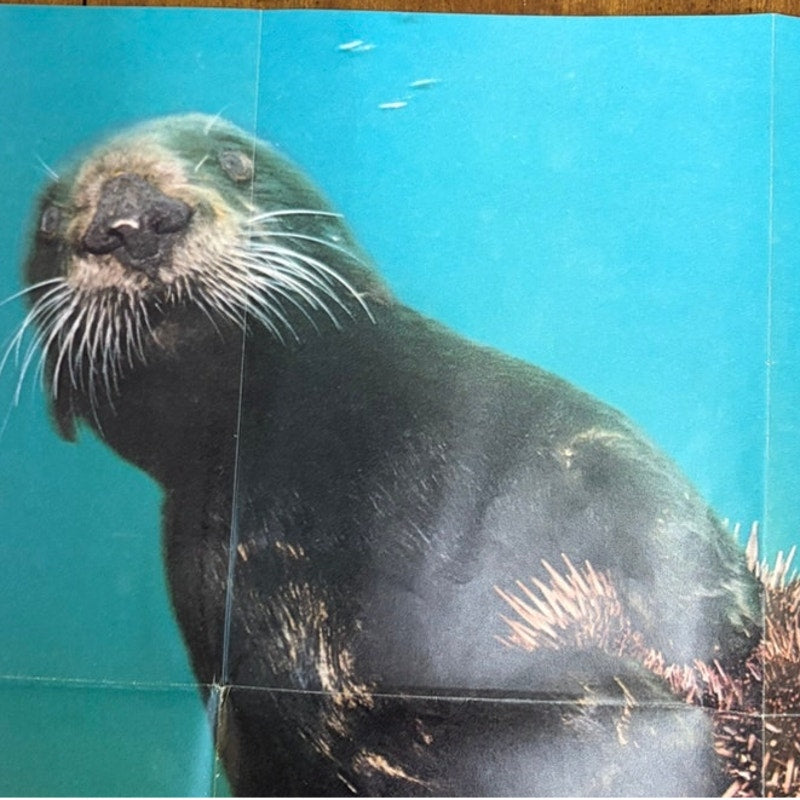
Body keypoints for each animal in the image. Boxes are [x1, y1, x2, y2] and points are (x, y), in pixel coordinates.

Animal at [19, 114, 760, 795]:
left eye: (234, 161)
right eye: (48, 222)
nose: (131, 220)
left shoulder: (561, 428)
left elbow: (655, 515)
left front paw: (706, 653)